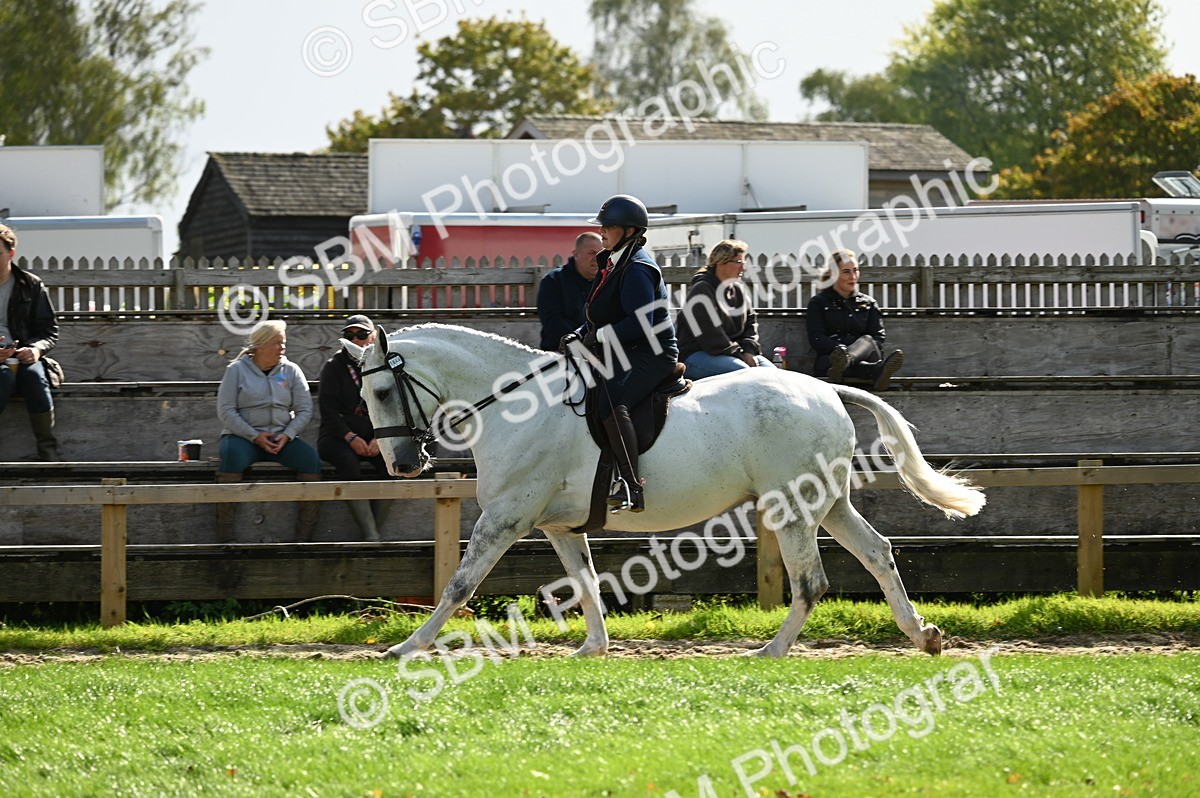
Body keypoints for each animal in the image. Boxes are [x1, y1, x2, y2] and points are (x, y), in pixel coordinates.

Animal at [348, 323, 985, 659]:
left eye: (379, 392)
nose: (402, 463)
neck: (515, 405)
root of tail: (826, 389)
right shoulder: (557, 525)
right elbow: (584, 581)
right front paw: (593, 648)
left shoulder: (505, 518)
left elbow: (459, 585)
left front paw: (405, 648)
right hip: (826, 504)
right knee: (877, 552)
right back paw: (922, 635)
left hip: (791, 508)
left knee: (811, 581)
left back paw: (771, 652)